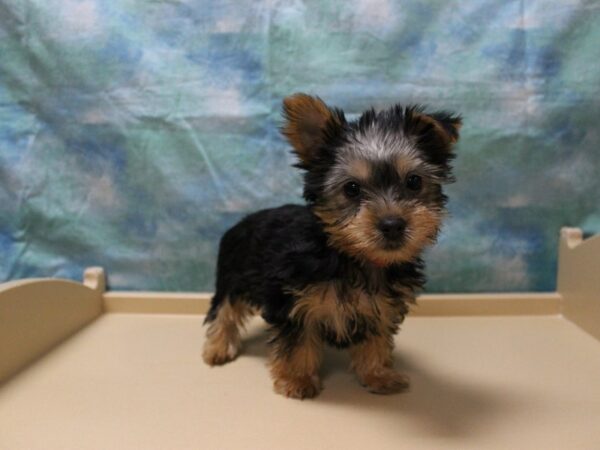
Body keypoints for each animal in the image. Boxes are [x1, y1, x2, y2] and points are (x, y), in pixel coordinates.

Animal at [204, 93, 462, 400]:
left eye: (413, 182)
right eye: (351, 188)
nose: (392, 224)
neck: (352, 256)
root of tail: (244, 220)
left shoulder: (380, 308)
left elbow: (376, 342)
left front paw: (378, 375)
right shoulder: (292, 302)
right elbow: (298, 343)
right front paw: (298, 379)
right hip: (233, 275)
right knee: (224, 311)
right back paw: (218, 348)